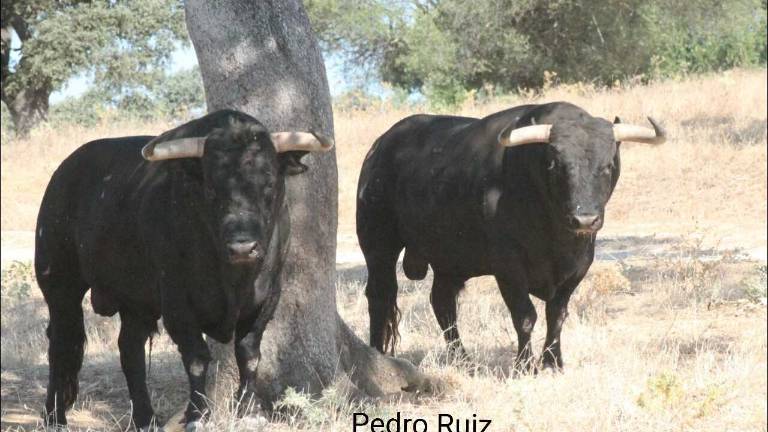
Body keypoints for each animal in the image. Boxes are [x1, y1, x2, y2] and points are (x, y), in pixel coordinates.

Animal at [35, 109, 330, 428]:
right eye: (211, 189)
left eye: (270, 184)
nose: (243, 247)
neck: (233, 279)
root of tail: (64, 173)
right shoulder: (177, 301)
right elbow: (197, 358)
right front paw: (197, 415)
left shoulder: (268, 296)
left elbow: (249, 353)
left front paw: (249, 410)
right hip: (59, 283)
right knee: (62, 343)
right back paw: (55, 416)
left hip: (135, 301)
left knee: (130, 349)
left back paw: (146, 419)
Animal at [356, 102, 664, 372]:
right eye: (555, 164)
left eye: (609, 164)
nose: (585, 219)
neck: (555, 235)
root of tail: (380, 146)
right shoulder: (508, 267)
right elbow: (525, 316)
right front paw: (524, 365)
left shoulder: (579, 264)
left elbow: (557, 315)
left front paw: (553, 362)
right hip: (378, 245)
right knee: (380, 295)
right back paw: (377, 354)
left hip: (449, 257)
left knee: (442, 303)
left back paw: (463, 360)